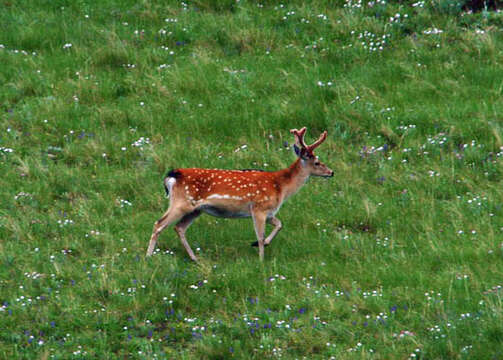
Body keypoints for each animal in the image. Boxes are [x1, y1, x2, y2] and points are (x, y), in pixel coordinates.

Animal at [147, 127, 334, 262]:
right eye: (317, 162)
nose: (331, 172)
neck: (281, 187)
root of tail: (173, 175)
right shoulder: (258, 208)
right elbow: (260, 236)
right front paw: (261, 260)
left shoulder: (269, 212)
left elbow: (279, 224)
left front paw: (259, 245)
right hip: (181, 202)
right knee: (159, 224)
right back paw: (148, 256)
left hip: (196, 209)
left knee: (179, 227)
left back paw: (194, 258)